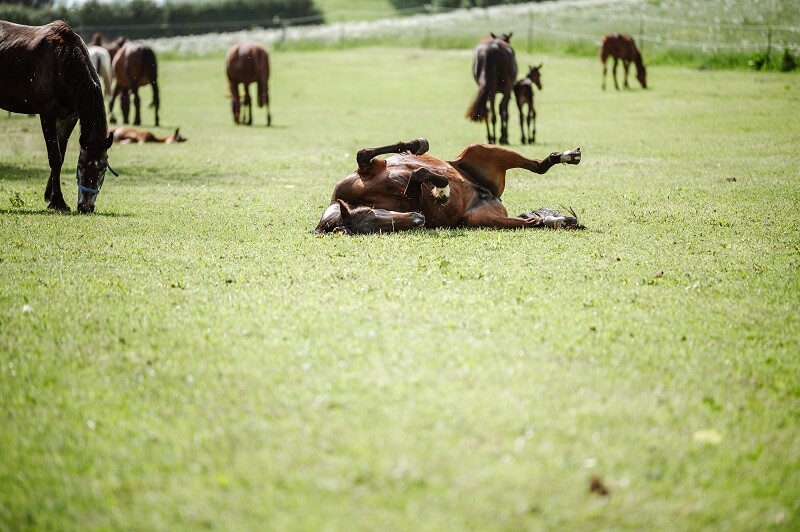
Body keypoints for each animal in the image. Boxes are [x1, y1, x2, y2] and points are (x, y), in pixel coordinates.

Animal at [0, 20, 114, 213]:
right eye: (81, 166)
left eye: (104, 169)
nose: (86, 207)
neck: (64, 62)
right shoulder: (47, 114)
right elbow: (55, 157)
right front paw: (59, 202)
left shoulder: (69, 118)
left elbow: (61, 154)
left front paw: (50, 197)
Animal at [312, 138, 580, 234]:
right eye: (376, 230)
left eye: (370, 213)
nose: (417, 220)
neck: (366, 197)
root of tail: (490, 195)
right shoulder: (415, 201)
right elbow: (419, 175)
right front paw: (442, 191)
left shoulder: (371, 168)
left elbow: (365, 153)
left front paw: (417, 145)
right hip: (479, 219)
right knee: (532, 221)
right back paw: (559, 221)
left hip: (479, 149)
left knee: (537, 167)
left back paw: (566, 156)